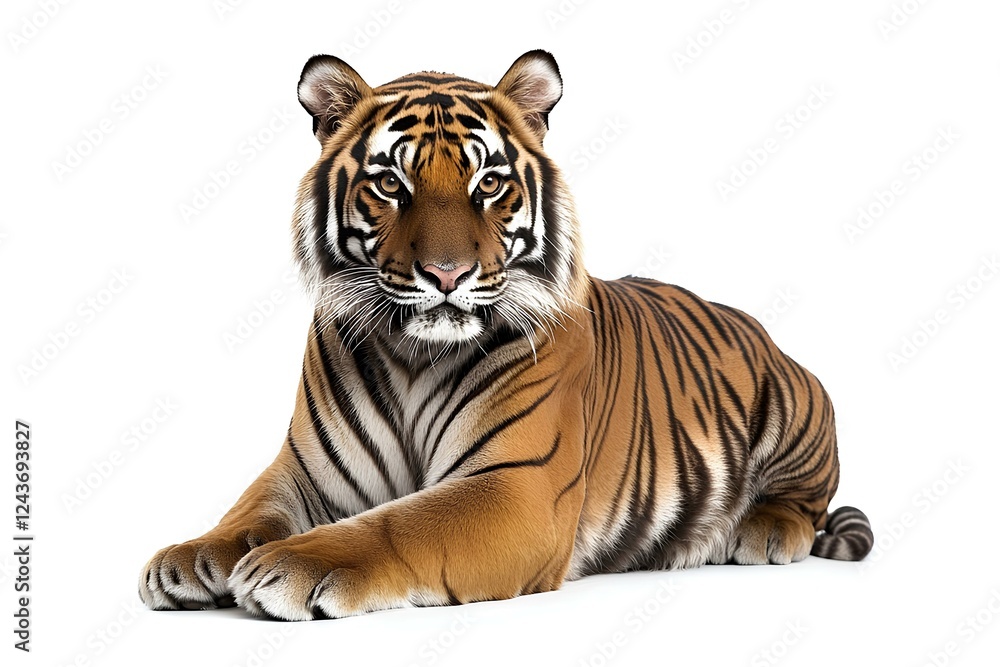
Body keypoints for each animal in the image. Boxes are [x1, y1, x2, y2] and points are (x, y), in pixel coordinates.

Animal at [138, 50, 874, 621]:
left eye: (489, 183)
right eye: (390, 184)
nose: (446, 274)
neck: (413, 355)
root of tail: (764, 332)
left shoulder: (515, 486)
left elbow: (398, 522)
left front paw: (289, 564)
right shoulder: (303, 469)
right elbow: (247, 510)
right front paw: (190, 558)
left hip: (799, 404)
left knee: (807, 501)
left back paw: (760, 529)